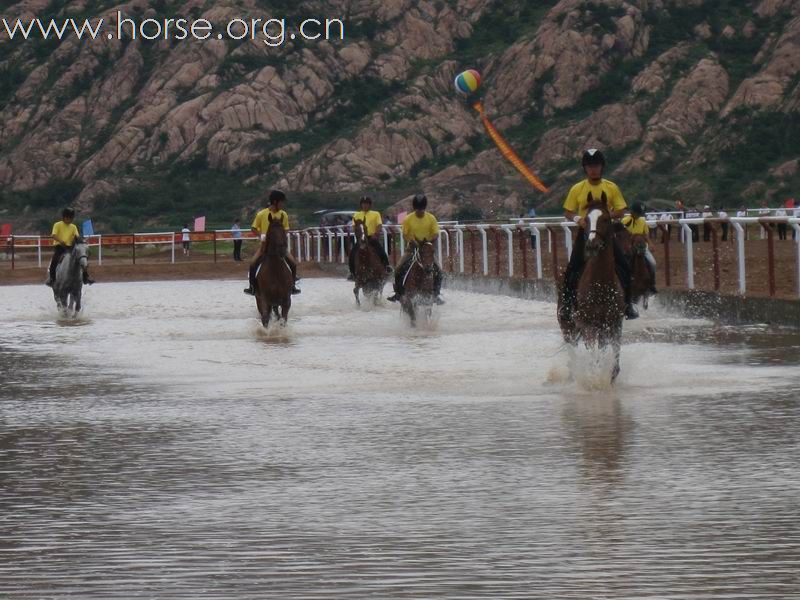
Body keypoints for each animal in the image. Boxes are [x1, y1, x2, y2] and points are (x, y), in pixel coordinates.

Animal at [556, 199, 624, 382]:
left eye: (606, 219)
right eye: (586, 220)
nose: (592, 244)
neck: (600, 285)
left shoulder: (614, 324)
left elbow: (614, 353)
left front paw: (610, 376)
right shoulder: (588, 325)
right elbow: (593, 355)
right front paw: (594, 378)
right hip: (567, 325)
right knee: (572, 348)